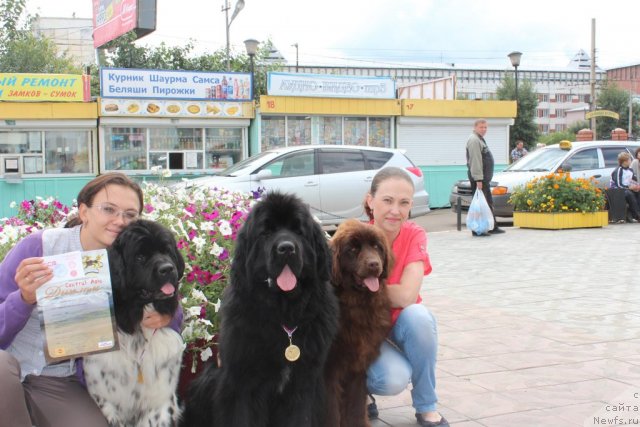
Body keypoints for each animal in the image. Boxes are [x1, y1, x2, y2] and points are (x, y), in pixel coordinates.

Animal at [180, 193, 340, 427]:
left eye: (298, 231)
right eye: (266, 233)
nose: (286, 248)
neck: (284, 315)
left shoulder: (303, 385)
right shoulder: (241, 384)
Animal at [328, 221, 392, 427]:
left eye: (377, 247)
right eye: (353, 249)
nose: (374, 264)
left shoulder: (358, 367)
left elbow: (356, 405)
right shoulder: (327, 371)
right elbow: (329, 411)